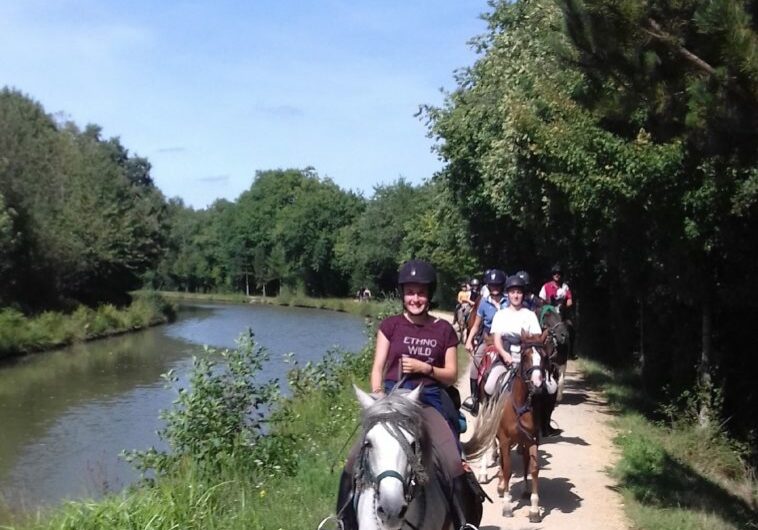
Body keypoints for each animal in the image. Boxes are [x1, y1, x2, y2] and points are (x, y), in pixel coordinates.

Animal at [466, 328, 548, 520]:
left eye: (545, 356)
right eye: (525, 356)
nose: (537, 384)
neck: (520, 402)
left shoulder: (532, 439)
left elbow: (533, 468)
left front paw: (534, 509)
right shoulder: (504, 439)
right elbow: (508, 469)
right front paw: (507, 505)